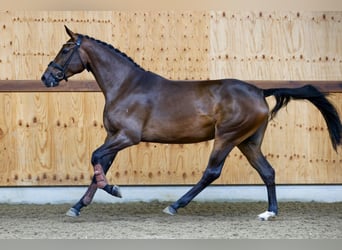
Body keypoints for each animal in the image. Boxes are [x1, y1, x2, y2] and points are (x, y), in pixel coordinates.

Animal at [40, 26, 340, 220]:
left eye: (65, 49)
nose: (46, 77)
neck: (126, 86)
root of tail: (259, 91)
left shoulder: (127, 136)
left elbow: (94, 158)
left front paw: (114, 190)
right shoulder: (113, 136)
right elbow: (98, 167)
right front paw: (78, 206)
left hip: (227, 137)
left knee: (212, 172)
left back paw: (175, 205)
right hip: (248, 142)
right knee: (267, 171)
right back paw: (270, 212)